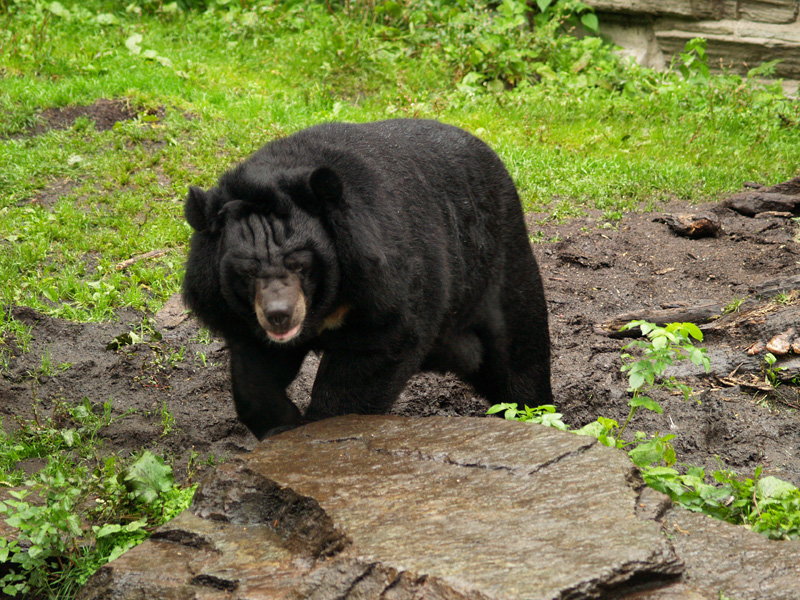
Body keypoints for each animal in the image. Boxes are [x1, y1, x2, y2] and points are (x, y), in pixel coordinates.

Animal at [182, 119, 552, 439]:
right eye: (246, 272)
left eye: (300, 265)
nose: (279, 315)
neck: (324, 306)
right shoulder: (240, 315)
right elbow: (255, 372)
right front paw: (281, 424)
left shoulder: (386, 283)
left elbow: (373, 359)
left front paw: (319, 426)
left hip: (495, 261)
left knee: (519, 355)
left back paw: (538, 416)